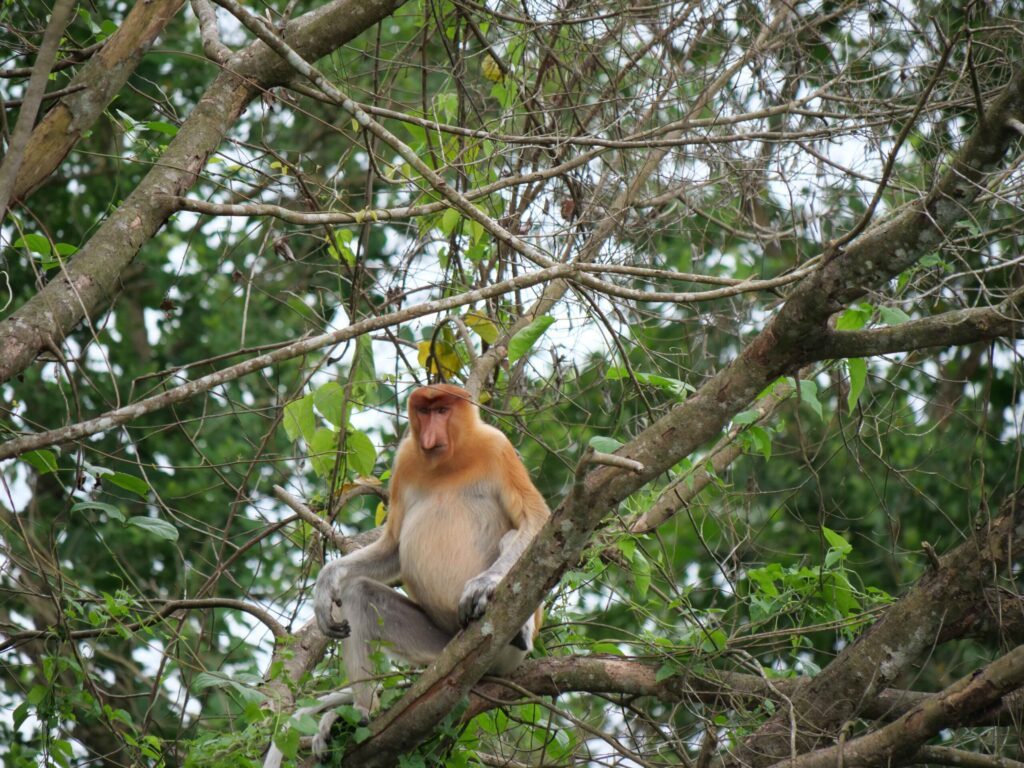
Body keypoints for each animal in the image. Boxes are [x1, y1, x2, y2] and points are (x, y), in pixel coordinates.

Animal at [311, 384, 549, 721]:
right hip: (440, 646)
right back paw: (361, 714)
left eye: (442, 411)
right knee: (358, 593)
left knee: (517, 542)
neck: (450, 462)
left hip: (505, 654)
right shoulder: (405, 459)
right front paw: (326, 582)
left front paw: (482, 585)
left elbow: (535, 520)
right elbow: (393, 547)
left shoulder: (498, 448)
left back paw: (520, 632)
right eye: (424, 412)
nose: (428, 436)